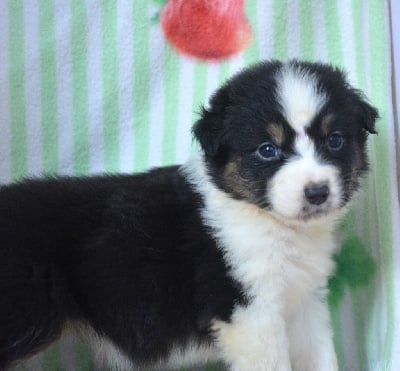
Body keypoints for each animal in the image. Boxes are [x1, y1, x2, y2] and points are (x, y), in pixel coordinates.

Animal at [0, 59, 376, 370]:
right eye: (267, 150)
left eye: (335, 140)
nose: (317, 192)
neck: (269, 221)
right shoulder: (249, 312)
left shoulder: (304, 302)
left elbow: (321, 356)